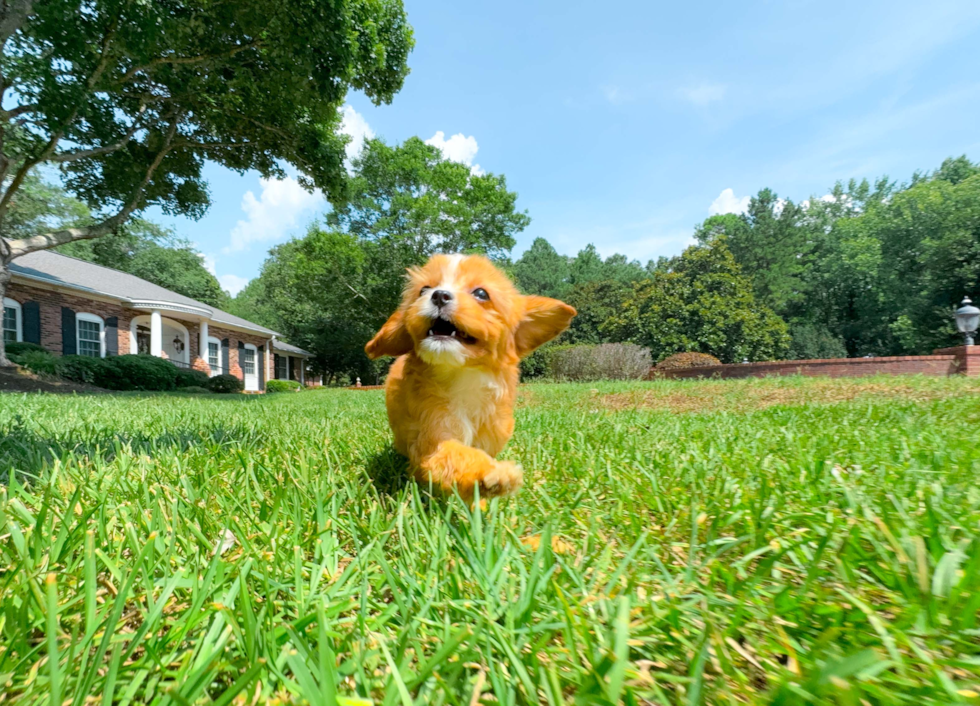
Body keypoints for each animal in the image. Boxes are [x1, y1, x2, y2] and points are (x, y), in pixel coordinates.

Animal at [366, 253, 576, 500]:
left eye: (481, 293)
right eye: (423, 290)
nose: (439, 295)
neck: (465, 376)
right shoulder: (433, 436)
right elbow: (456, 455)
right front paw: (492, 473)